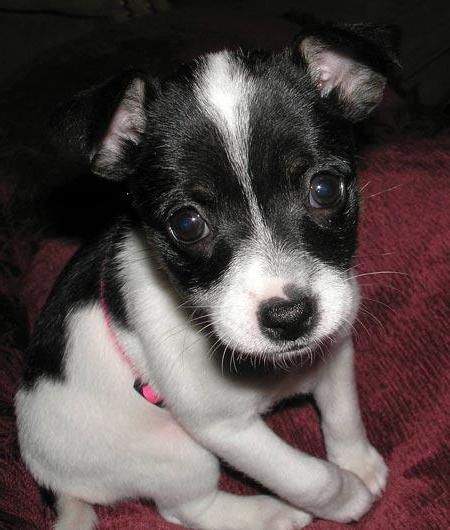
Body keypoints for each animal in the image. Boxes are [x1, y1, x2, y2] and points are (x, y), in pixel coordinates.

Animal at [15, 21, 398, 528]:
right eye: (187, 224)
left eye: (325, 189)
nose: (290, 317)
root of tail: (51, 481)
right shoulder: (224, 430)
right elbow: (307, 478)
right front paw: (348, 496)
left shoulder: (333, 352)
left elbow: (343, 413)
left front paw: (357, 462)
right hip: (180, 454)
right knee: (184, 509)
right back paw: (272, 514)